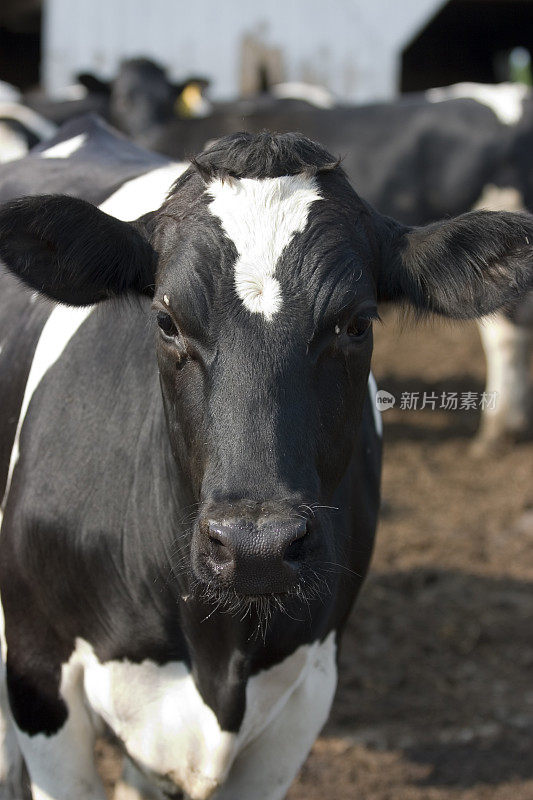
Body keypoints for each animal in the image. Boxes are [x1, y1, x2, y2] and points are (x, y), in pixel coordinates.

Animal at [0, 120, 528, 800]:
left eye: (357, 323)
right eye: (166, 320)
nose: (257, 547)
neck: (215, 654)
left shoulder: (306, 689)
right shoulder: (39, 671)